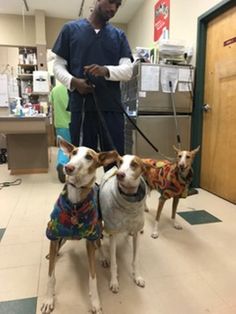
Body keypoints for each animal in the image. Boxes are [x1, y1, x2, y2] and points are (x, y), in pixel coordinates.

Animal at [41, 137, 118, 314]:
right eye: (74, 153)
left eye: (89, 157)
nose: (68, 167)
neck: (75, 203)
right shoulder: (53, 233)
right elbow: (50, 275)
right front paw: (48, 299)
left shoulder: (90, 236)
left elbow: (93, 277)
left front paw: (95, 302)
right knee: (59, 246)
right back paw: (54, 253)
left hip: (97, 228)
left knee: (98, 243)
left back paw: (103, 257)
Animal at [98, 155, 150, 294]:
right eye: (120, 162)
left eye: (134, 164)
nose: (119, 174)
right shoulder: (113, 234)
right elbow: (114, 263)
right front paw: (114, 282)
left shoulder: (137, 233)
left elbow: (135, 260)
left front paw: (137, 277)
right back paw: (103, 258)